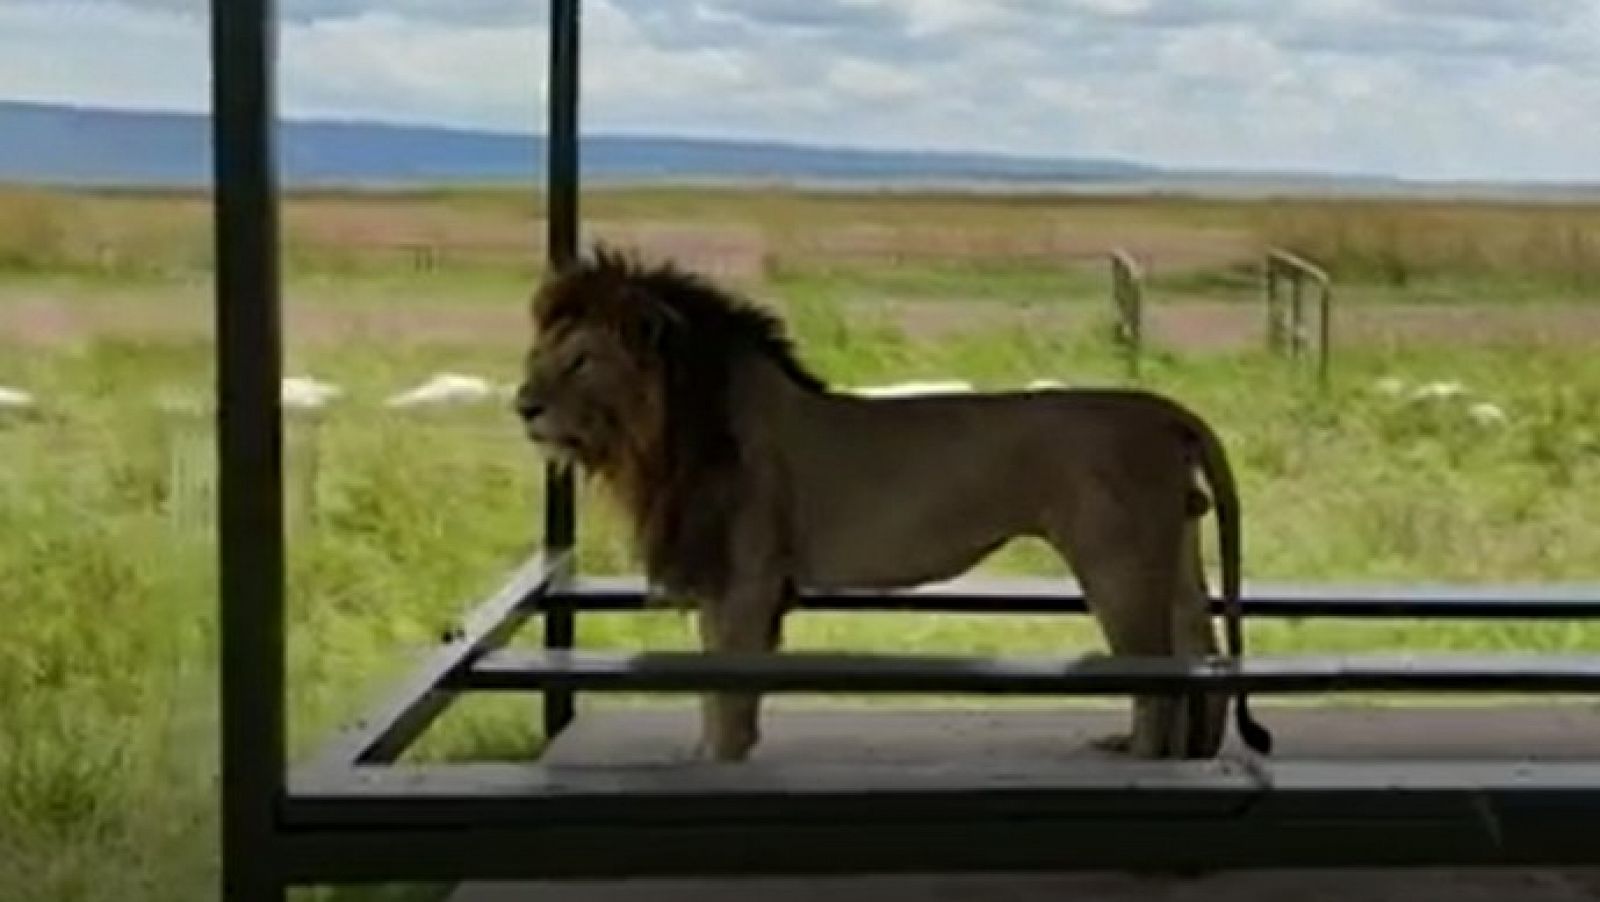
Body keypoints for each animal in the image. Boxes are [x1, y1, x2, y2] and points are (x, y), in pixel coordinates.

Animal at [515, 246, 1274, 763]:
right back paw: (1187, 758)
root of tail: (1166, 411)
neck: (668, 435)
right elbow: (712, 692)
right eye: (538, 355)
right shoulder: (720, 583)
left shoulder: (748, 581)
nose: (521, 404)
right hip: (1172, 549)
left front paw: (719, 765)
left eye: (580, 360)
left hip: (1114, 560)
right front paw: (706, 756)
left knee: (1159, 676)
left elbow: (730, 697)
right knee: (1198, 644)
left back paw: (1146, 762)